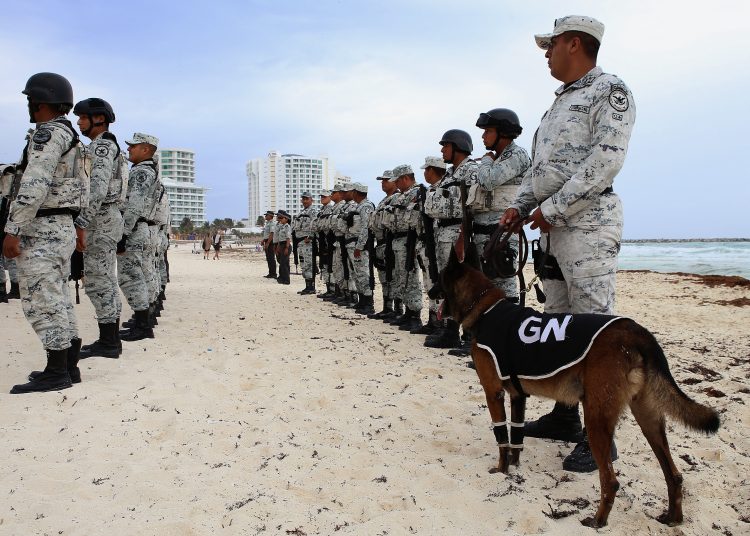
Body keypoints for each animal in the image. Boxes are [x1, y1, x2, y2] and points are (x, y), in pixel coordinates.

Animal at [434, 246, 724, 528]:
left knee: (611, 481)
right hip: (648, 420)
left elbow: (502, 439)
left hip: (597, 419)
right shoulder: (518, 397)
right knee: (673, 475)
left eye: (439, 280)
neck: (485, 308)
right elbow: (516, 437)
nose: (430, 291)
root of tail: (634, 330)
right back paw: (673, 516)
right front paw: (515, 468)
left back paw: (598, 520)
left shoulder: (493, 394)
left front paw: (502, 470)